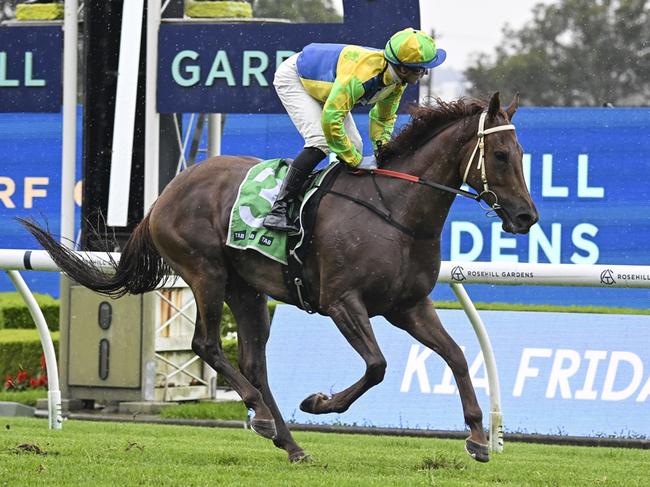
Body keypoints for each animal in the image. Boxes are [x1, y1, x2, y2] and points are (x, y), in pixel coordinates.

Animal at [20, 92, 536, 466]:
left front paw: (477, 437)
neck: (395, 211)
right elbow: (377, 366)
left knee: (254, 361)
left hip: (246, 291)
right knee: (207, 344)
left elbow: (458, 356)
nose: (526, 216)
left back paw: (288, 441)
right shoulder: (342, 302)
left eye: (520, 153)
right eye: (501, 154)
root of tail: (166, 194)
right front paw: (319, 403)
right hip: (205, 272)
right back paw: (264, 417)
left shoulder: (408, 306)